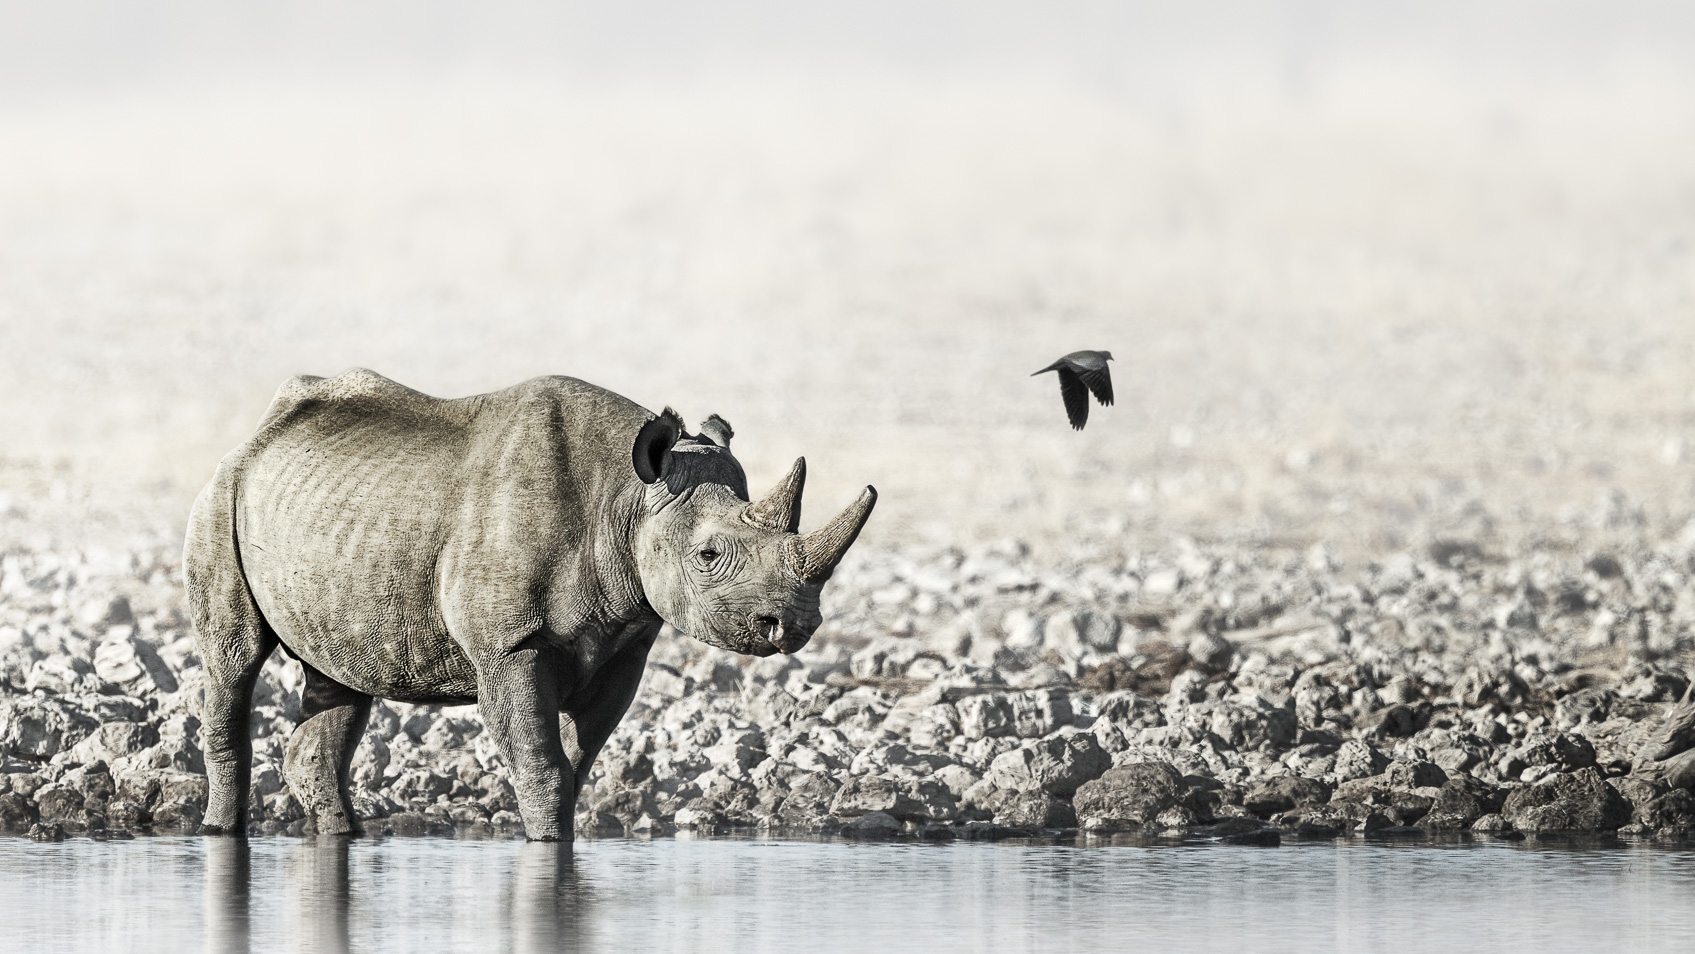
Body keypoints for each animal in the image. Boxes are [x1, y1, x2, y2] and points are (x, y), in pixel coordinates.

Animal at [183, 369, 875, 840]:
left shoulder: (626, 640)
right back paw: (219, 831)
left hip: (331, 518)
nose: (794, 625)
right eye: (707, 555)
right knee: (233, 660)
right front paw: (545, 846)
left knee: (340, 678)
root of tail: (257, 436)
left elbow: (575, 763)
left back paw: (340, 832)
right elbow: (542, 766)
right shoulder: (508, 644)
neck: (626, 497)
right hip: (221, 496)